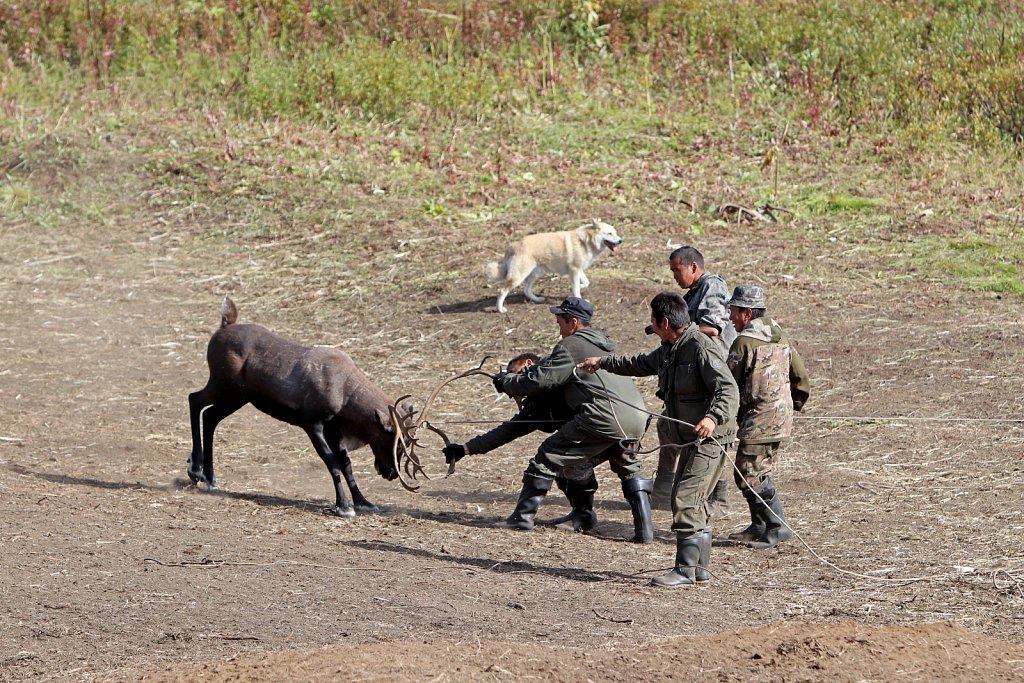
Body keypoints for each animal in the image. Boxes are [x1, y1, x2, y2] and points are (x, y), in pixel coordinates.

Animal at [186, 296, 417, 516]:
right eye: (396, 442)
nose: (391, 473)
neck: (346, 397)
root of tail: (223, 326)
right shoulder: (312, 423)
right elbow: (332, 463)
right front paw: (344, 506)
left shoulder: (334, 429)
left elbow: (346, 465)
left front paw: (364, 502)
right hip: (223, 385)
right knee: (194, 399)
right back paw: (196, 470)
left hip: (238, 397)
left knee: (210, 416)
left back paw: (210, 478)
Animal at [481, 220, 618, 313]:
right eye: (609, 233)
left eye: (615, 233)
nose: (620, 241)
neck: (585, 241)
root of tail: (513, 245)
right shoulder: (574, 270)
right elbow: (576, 288)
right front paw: (577, 296)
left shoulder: (578, 270)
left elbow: (586, 283)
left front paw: (580, 289)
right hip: (519, 276)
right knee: (502, 291)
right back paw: (500, 309)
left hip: (536, 273)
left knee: (526, 290)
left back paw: (537, 300)